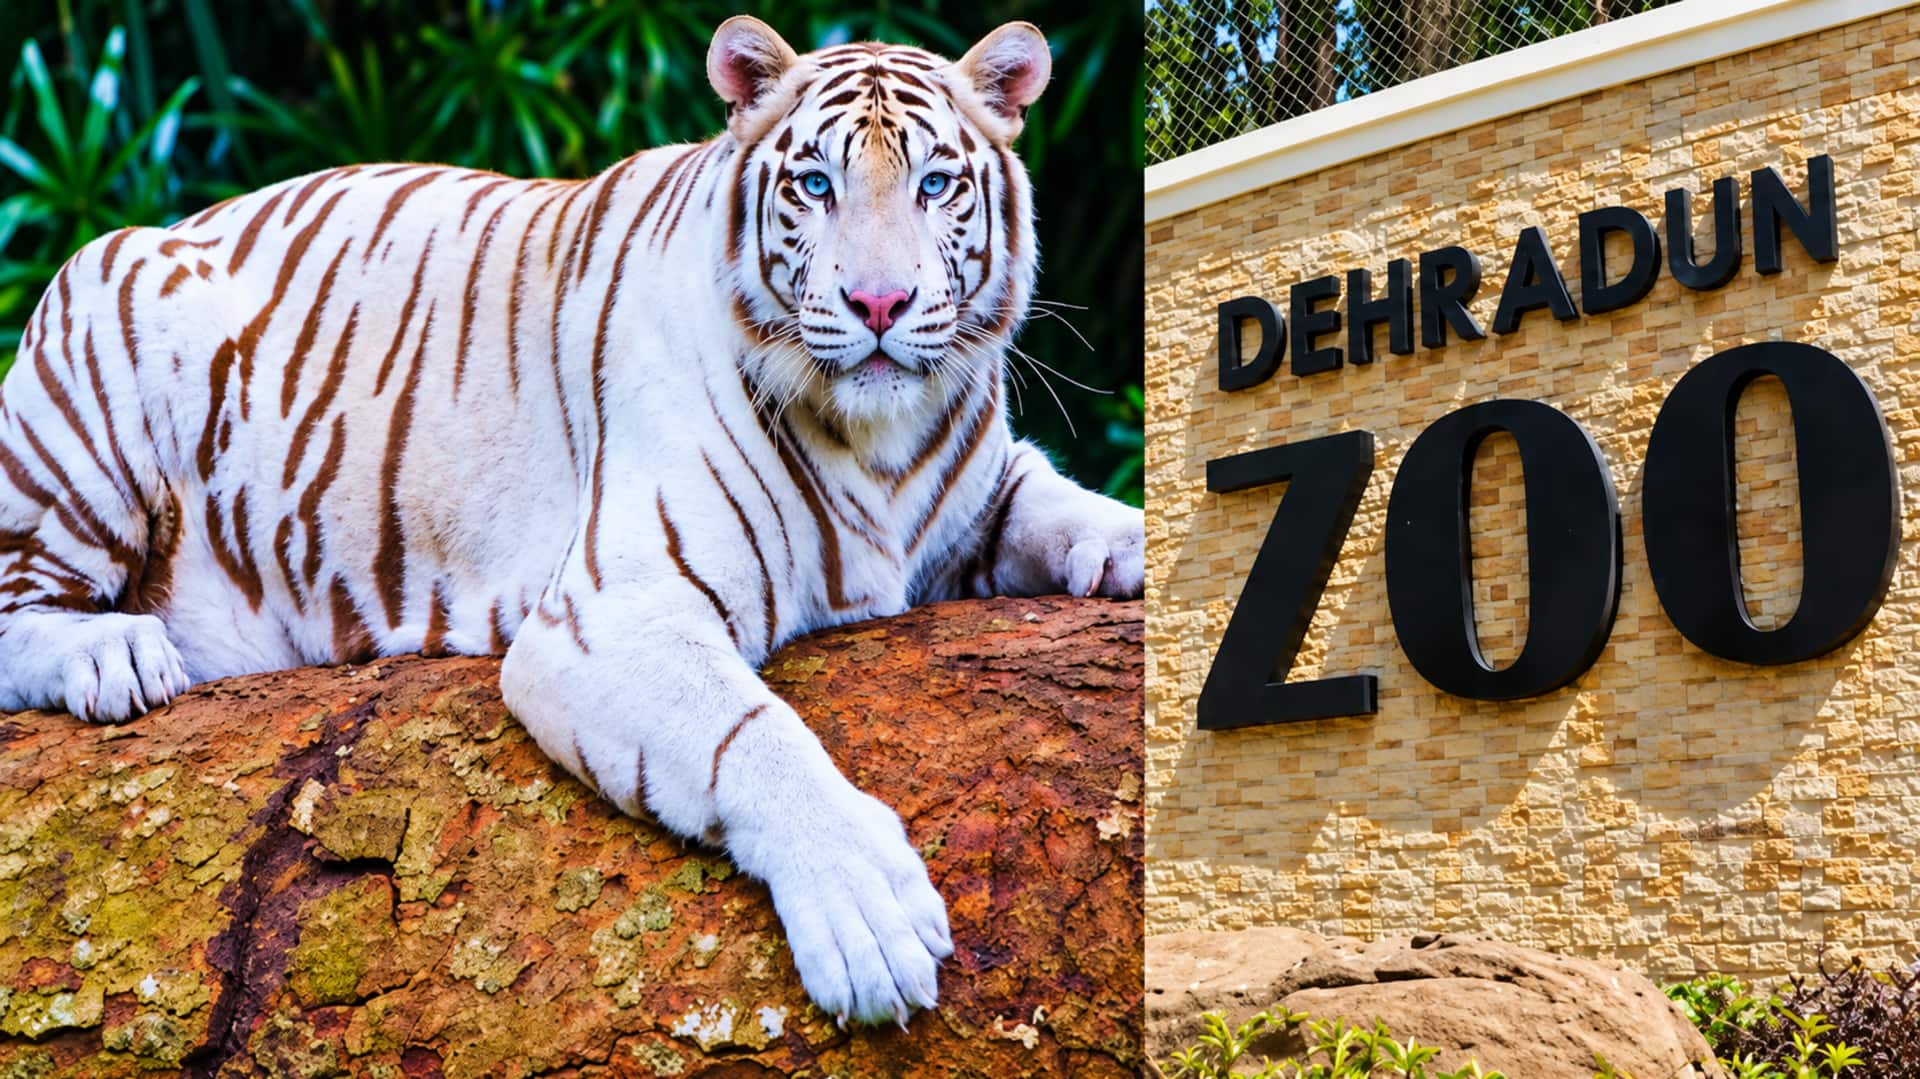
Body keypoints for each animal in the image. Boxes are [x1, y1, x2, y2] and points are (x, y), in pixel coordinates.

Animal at [0, 16, 1143, 1027]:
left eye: (935, 185)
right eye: (816, 185)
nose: (877, 304)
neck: (881, 445)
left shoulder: (973, 492)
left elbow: (1053, 497)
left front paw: (1132, 539)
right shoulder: (612, 611)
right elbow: (754, 733)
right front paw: (867, 916)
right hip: (92, 359)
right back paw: (115, 655)